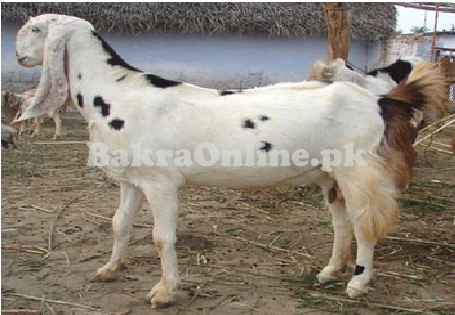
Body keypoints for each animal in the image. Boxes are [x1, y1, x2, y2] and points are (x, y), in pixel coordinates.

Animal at [15, 13, 448, 310]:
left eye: (35, 29)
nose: (18, 55)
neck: (117, 92)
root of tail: (379, 100)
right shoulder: (131, 179)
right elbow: (118, 224)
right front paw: (109, 270)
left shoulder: (160, 181)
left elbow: (161, 237)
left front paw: (165, 292)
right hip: (331, 175)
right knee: (342, 223)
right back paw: (329, 272)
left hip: (359, 170)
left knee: (364, 225)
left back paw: (357, 283)